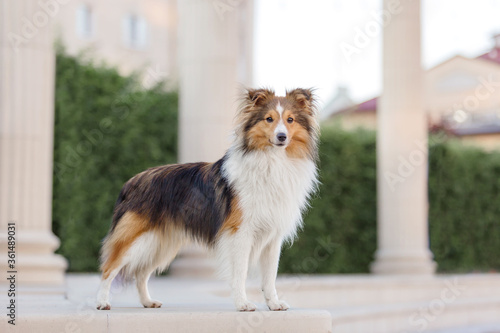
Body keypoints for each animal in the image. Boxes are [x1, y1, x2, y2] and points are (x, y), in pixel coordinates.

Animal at [95, 88, 318, 312]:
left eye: (290, 119)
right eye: (269, 119)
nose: (281, 137)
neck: (273, 161)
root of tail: (131, 181)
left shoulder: (272, 237)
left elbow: (270, 276)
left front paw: (274, 304)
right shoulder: (240, 232)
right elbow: (240, 272)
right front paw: (243, 303)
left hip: (160, 244)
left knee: (141, 273)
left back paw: (148, 302)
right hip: (134, 239)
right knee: (108, 268)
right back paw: (102, 302)